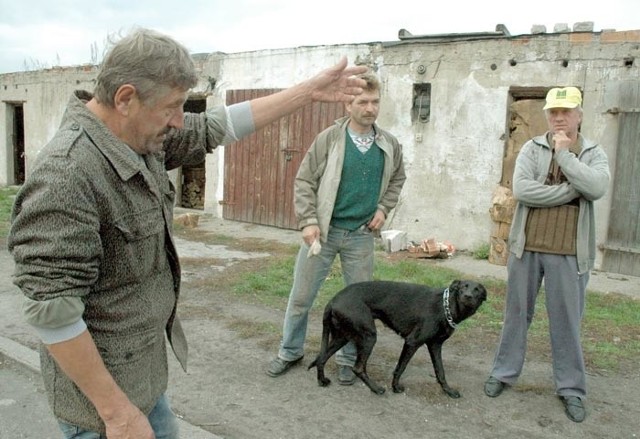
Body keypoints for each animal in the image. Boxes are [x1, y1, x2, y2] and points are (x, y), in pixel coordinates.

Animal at [308, 282, 484, 398]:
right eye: (463, 287)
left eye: (477, 289)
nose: (467, 296)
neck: (446, 306)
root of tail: (332, 301)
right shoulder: (412, 342)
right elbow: (401, 367)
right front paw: (395, 387)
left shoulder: (435, 345)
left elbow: (440, 371)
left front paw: (448, 391)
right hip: (369, 336)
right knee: (357, 368)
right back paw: (376, 389)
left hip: (343, 337)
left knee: (321, 358)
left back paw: (321, 381)